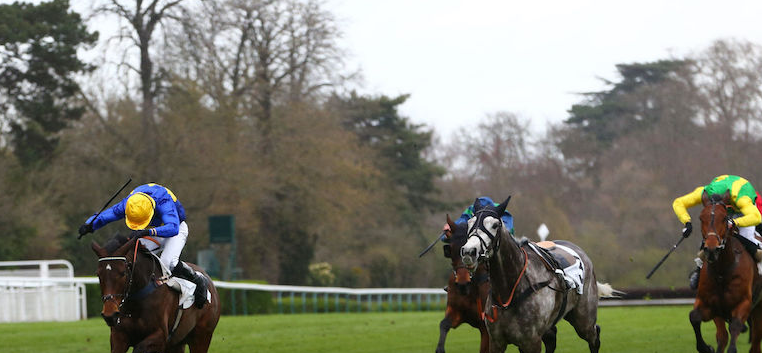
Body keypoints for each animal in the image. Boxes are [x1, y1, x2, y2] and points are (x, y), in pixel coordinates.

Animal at [91, 234, 220, 352]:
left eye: (123, 273)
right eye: (98, 274)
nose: (109, 314)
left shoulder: (161, 336)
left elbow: (139, 348)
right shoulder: (118, 336)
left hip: (202, 337)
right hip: (178, 343)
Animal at [458, 197, 612, 350]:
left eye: (495, 225)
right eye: (469, 223)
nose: (469, 252)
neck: (511, 290)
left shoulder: (531, 342)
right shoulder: (497, 342)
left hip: (584, 320)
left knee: (594, 336)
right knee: (552, 338)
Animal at [688, 191, 760, 352]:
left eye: (724, 218)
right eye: (701, 217)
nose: (711, 250)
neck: (722, 271)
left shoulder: (744, 303)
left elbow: (735, 328)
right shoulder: (711, 306)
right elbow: (694, 317)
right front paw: (706, 348)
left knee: (756, 341)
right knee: (723, 337)